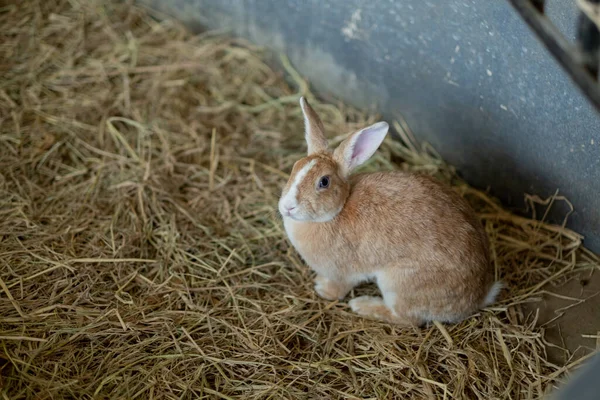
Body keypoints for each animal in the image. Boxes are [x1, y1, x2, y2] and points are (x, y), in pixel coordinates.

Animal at [282, 95, 502, 326]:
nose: (287, 206)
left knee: (407, 319)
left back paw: (363, 305)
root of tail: (479, 296)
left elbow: (339, 289)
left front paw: (322, 289)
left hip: (398, 284)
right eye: (295, 167)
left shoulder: (341, 273)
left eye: (324, 182)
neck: (337, 211)